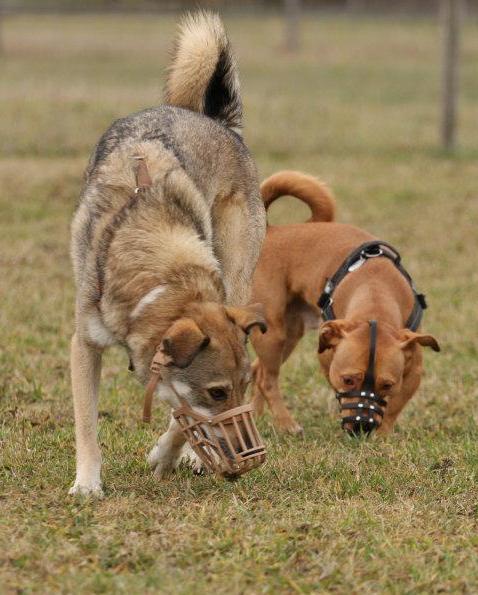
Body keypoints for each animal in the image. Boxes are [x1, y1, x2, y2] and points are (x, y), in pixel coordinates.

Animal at [70, 12, 266, 498]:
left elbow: (181, 414)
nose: (250, 458)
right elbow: (86, 421)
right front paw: (87, 484)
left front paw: (168, 455)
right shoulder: (83, 343)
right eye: (218, 393)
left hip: (238, 278)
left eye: (244, 386)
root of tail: (212, 120)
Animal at [250, 170, 440, 436]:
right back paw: (287, 424)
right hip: (272, 334)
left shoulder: (413, 372)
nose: (361, 427)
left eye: (387, 385)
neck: (375, 294)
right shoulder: (327, 359)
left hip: (290, 333)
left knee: (258, 370)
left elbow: (394, 407)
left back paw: (255, 417)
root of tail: (271, 230)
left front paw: (382, 436)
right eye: (347, 380)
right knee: (267, 380)